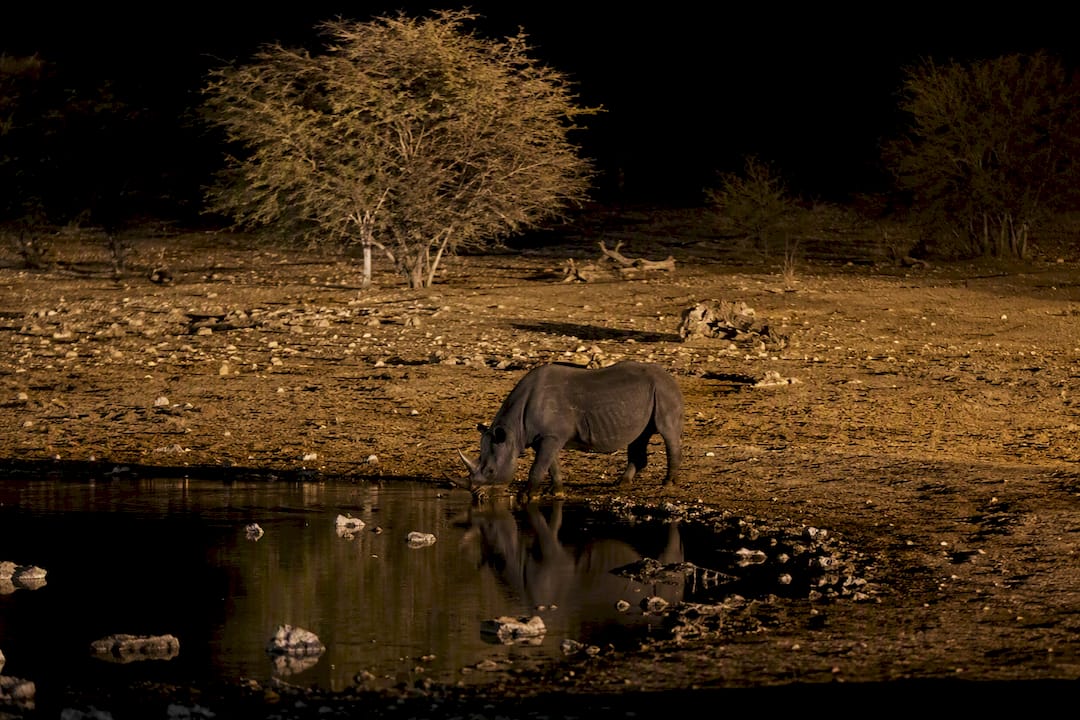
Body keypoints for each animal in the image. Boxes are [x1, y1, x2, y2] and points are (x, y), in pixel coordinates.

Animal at [459, 360, 683, 499]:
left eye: (490, 471)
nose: (477, 495)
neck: (512, 433)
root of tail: (669, 376)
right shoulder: (547, 436)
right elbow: (550, 464)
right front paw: (556, 492)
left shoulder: (550, 436)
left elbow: (538, 466)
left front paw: (526, 496)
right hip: (649, 394)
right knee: (639, 436)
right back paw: (621, 483)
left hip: (664, 390)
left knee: (667, 432)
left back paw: (668, 483)